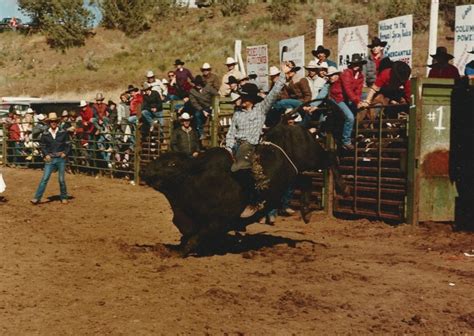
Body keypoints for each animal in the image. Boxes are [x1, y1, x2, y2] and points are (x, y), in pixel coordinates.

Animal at [142, 124, 348, 258]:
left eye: (172, 164)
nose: (146, 170)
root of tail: (294, 126)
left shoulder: (218, 222)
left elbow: (196, 238)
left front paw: (178, 253)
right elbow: (188, 235)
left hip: (312, 156)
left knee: (331, 156)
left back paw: (343, 187)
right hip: (293, 174)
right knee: (306, 180)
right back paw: (305, 212)